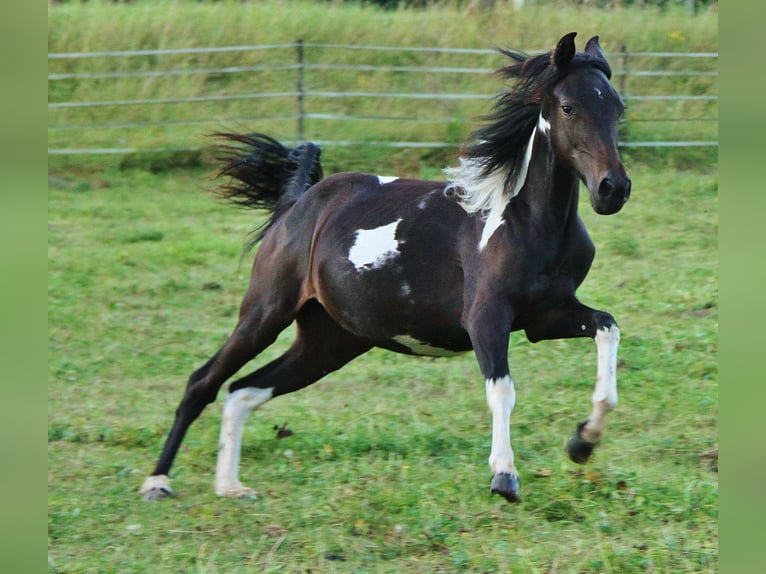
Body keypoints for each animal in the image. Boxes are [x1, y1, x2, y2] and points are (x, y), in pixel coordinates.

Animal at [142, 33, 632, 506]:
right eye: (568, 106)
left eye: (617, 106)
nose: (613, 189)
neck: (526, 220)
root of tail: (296, 205)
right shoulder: (485, 317)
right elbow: (502, 389)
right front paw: (504, 477)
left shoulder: (543, 318)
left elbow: (607, 329)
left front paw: (582, 442)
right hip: (266, 312)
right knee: (204, 382)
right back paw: (158, 482)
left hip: (329, 342)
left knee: (243, 391)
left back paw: (231, 487)